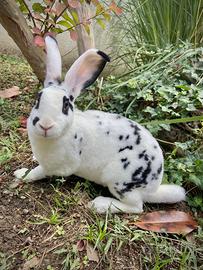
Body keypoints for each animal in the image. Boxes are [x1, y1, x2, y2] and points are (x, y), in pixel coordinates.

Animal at [13, 35, 186, 213]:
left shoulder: (57, 166)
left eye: (66, 105)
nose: (45, 125)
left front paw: (22, 174)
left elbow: (39, 171)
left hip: (120, 179)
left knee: (137, 207)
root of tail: (153, 188)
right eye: (37, 100)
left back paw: (99, 204)